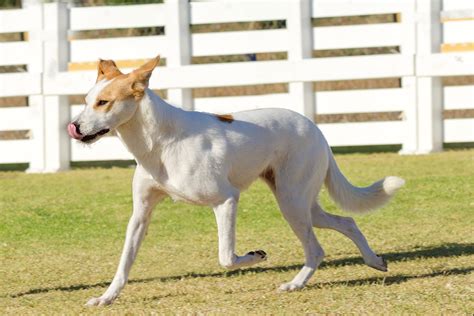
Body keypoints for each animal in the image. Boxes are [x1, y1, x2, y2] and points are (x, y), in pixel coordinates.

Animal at [67, 56, 404, 306]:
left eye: (104, 102)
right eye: (86, 100)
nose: (74, 126)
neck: (160, 142)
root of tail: (315, 128)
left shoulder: (226, 200)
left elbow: (226, 257)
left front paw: (255, 256)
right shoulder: (141, 214)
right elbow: (124, 262)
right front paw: (106, 298)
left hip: (291, 202)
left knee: (316, 248)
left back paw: (295, 284)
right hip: (302, 204)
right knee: (347, 222)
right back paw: (374, 261)